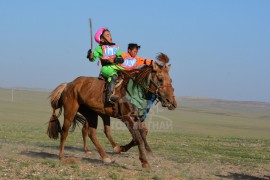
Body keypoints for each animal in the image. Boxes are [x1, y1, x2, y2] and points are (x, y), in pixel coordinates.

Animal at [47, 52, 176, 168]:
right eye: (160, 79)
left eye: (170, 80)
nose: (171, 102)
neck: (134, 91)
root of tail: (68, 85)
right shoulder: (127, 117)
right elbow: (138, 138)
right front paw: (144, 162)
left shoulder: (138, 117)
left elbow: (141, 134)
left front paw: (123, 148)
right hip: (71, 111)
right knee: (65, 131)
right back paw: (61, 156)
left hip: (92, 113)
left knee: (92, 133)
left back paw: (106, 156)